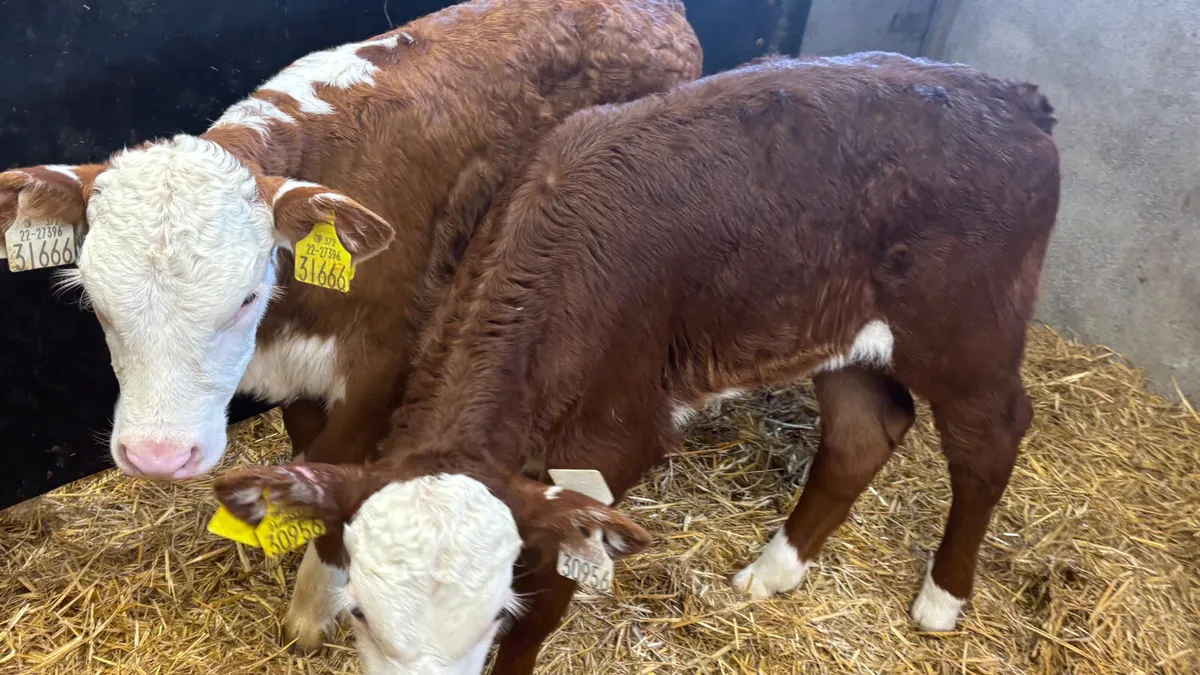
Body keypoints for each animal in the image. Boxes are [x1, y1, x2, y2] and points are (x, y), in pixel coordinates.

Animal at [0, 0, 702, 649]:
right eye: (93, 298)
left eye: (246, 297)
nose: (158, 457)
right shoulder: (300, 373)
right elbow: (310, 457)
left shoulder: (383, 367)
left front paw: (313, 609)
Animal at [215, 51, 1059, 674]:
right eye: (360, 610)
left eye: (493, 614)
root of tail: (1013, 95)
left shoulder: (614, 441)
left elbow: (548, 601)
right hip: (840, 325)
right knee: (865, 430)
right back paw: (774, 570)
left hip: (968, 331)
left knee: (991, 438)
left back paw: (942, 598)